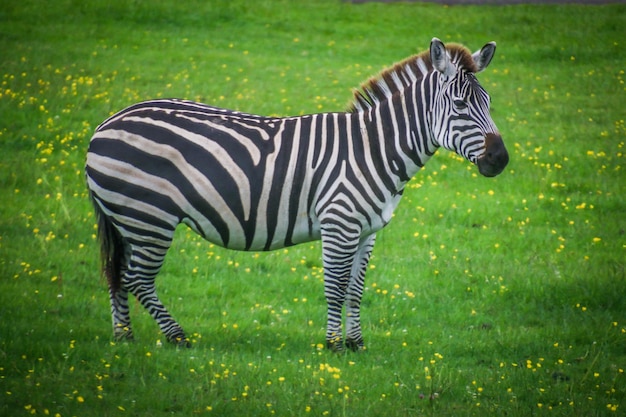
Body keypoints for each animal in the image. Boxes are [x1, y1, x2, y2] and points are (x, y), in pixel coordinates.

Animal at [85, 38, 508, 352]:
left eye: (489, 103)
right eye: (460, 105)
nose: (500, 159)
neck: (373, 148)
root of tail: (106, 123)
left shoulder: (367, 231)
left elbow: (356, 289)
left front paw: (356, 344)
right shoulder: (340, 224)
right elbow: (335, 285)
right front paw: (334, 345)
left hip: (130, 220)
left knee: (118, 274)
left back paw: (124, 337)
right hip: (149, 216)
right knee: (137, 278)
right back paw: (177, 337)